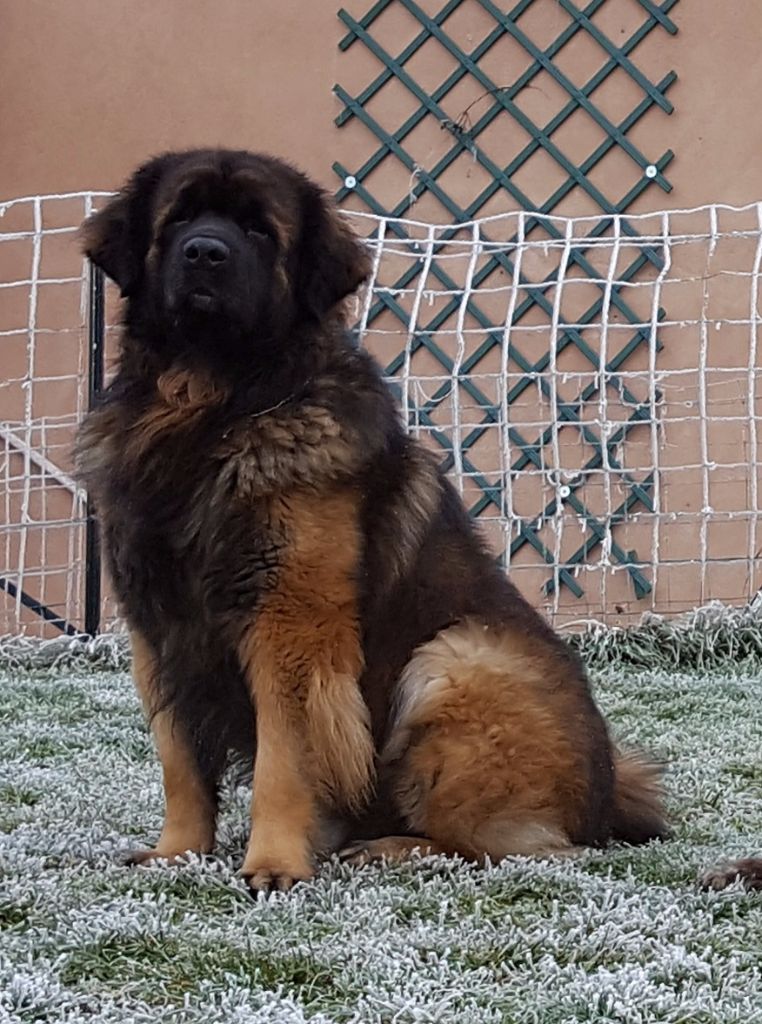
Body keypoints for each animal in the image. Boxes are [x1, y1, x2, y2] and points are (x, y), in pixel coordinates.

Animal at [75, 148, 667, 892]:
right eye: (179, 219)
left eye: (259, 229)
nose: (205, 252)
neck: (213, 406)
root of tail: (610, 791)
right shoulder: (160, 628)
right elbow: (179, 760)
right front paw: (177, 852)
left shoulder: (292, 623)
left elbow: (284, 759)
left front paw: (274, 864)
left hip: (457, 660)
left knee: (502, 844)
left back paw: (392, 846)